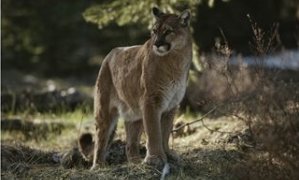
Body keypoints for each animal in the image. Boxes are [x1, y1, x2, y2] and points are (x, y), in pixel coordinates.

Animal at [79, 6, 192, 170]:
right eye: (154, 31)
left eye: (168, 31)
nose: (156, 44)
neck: (176, 59)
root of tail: (110, 53)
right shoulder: (151, 101)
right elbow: (154, 132)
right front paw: (155, 158)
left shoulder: (172, 105)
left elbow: (165, 133)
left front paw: (168, 155)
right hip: (104, 111)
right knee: (101, 139)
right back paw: (98, 166)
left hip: (135, 114)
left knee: (130, 145)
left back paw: (136, 163)